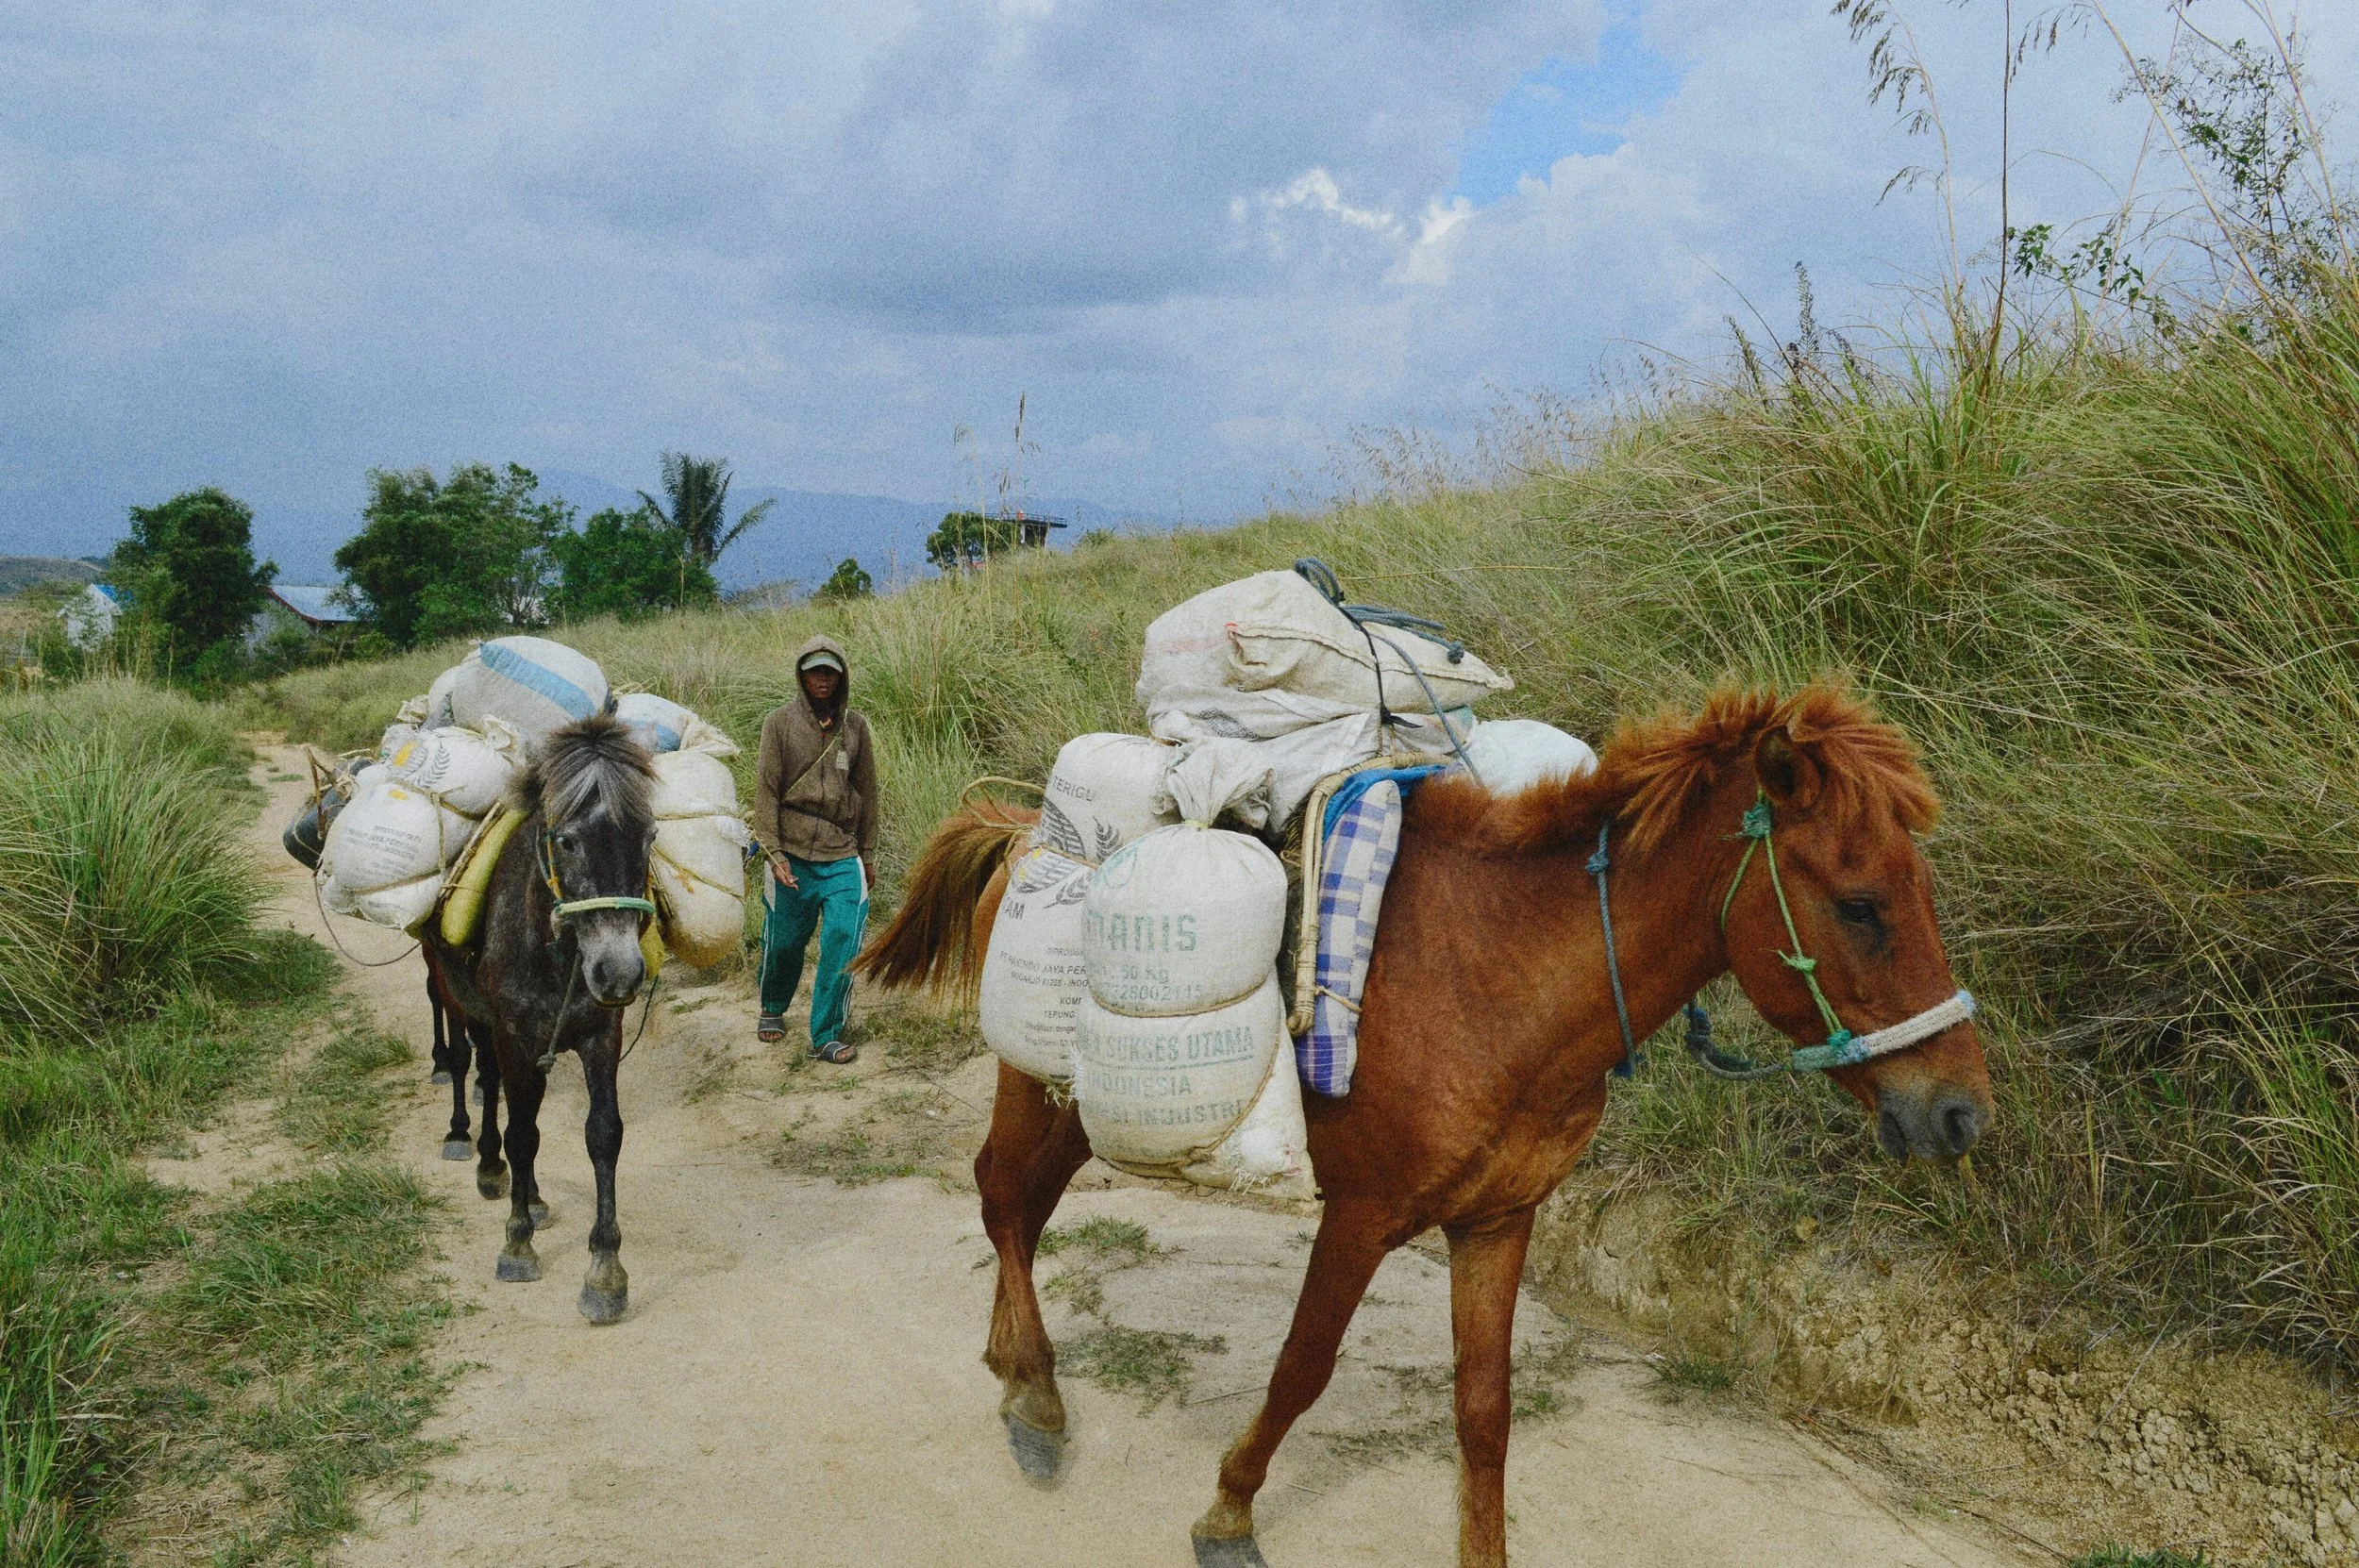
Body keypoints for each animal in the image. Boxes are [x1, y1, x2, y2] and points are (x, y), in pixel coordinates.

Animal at [421, 714, 659, 1325]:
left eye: (648, 837)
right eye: (567, 841)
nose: (619, 972)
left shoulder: (600, 1034)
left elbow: (603, 1134)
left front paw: (605, 1272)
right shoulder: (512, 1035)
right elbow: (522, 1133)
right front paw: (518, 1241)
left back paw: (523, 1188)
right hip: (457, 995)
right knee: (472, 1067)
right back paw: (475, 1151)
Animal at [854, 686, 1993, 1568]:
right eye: (1860, 904)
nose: (1960, 1113)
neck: (1501, 981)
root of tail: (1021, 831)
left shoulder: (1498, 1220)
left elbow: (1484, 1411)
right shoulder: (1361, 1216)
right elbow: (1303, 1368)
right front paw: (1227, 1512)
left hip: (1075, 1107)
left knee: (1023, 1205)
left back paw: (1012, 1364)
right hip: (1037, 1081)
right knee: (1003, 1198)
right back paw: (1037, 1401)